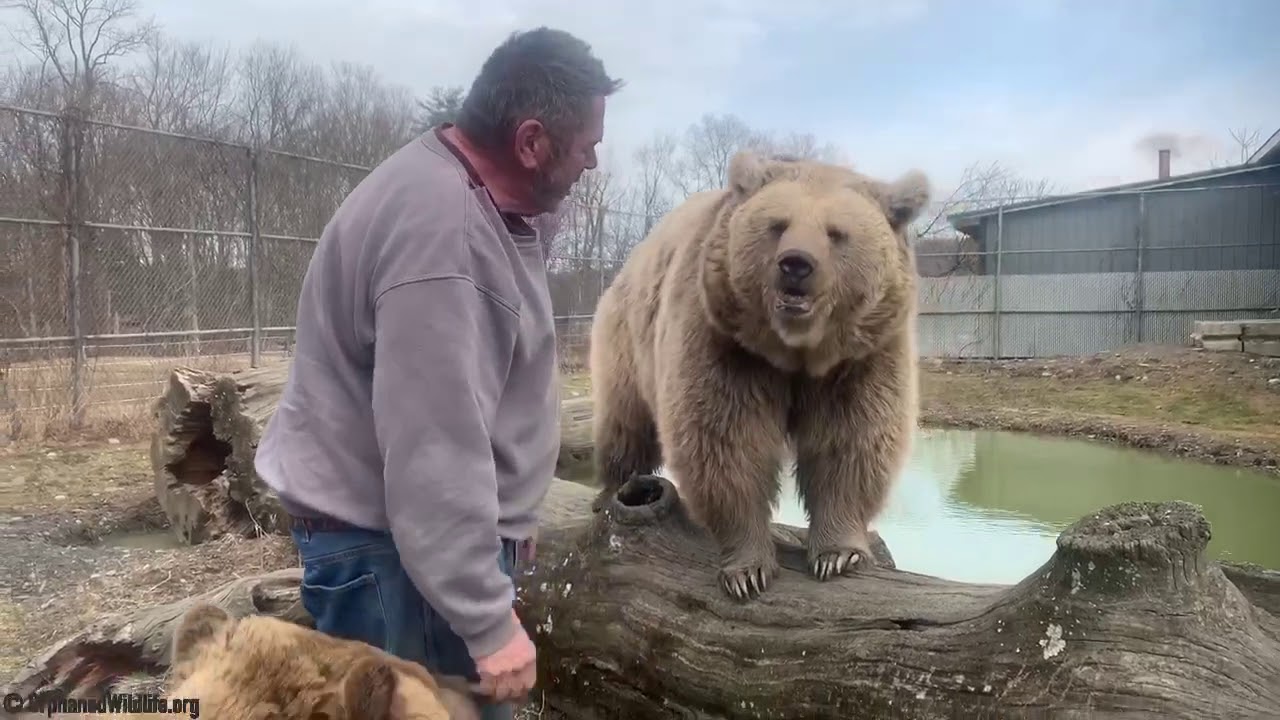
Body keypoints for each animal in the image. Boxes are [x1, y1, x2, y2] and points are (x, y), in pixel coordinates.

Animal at [588, 149, 929, 600]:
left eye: (836, 233)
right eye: (778, 224)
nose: (796, 264)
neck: (796, 350)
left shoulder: (862, 355)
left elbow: (850, 439)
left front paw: (839, 554)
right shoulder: (727, 343)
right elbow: (728, 442)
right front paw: (747, 571)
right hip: (626, 336)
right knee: (626, 423)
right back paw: (613, 488)